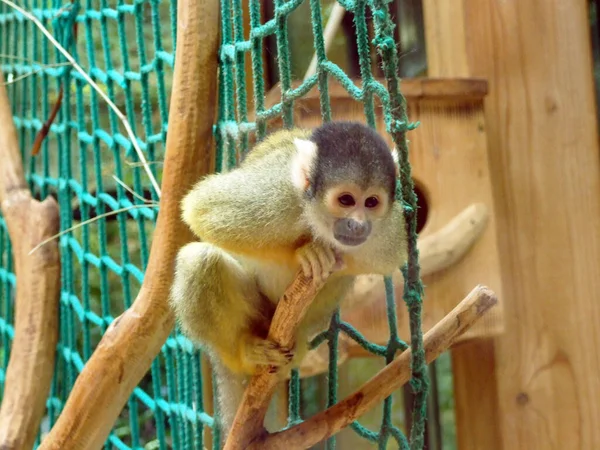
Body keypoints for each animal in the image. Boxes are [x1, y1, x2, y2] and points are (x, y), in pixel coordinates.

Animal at [171, 120, 410, 436]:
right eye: (346, 200)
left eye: (371, 202)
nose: (357, 225)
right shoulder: (278, 196)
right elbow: (201, 209)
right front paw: (304, 252)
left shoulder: (386, 234)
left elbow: (380, 261)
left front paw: (331, 258)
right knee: (200, 260)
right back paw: (241, 352)